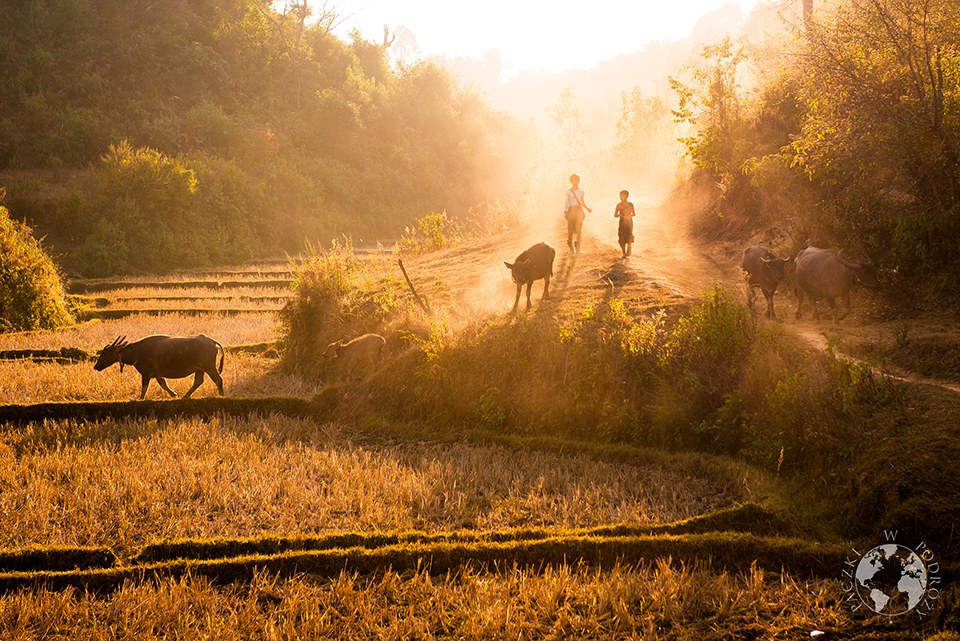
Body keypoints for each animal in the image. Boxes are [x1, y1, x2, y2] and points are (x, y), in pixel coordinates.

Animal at [96, 336, 227, 400]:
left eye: (106, 353)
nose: (96, 366)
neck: (137, 352)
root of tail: (212, 342)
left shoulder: (146, 373)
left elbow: (144, 387)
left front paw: (140, 398)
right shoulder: (158, 374)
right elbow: (163, 384)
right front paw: (174, 394)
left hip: (208, 366)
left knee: (218, 379)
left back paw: (221, 395)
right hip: (200, 369)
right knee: (198, 381)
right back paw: (185, 395)